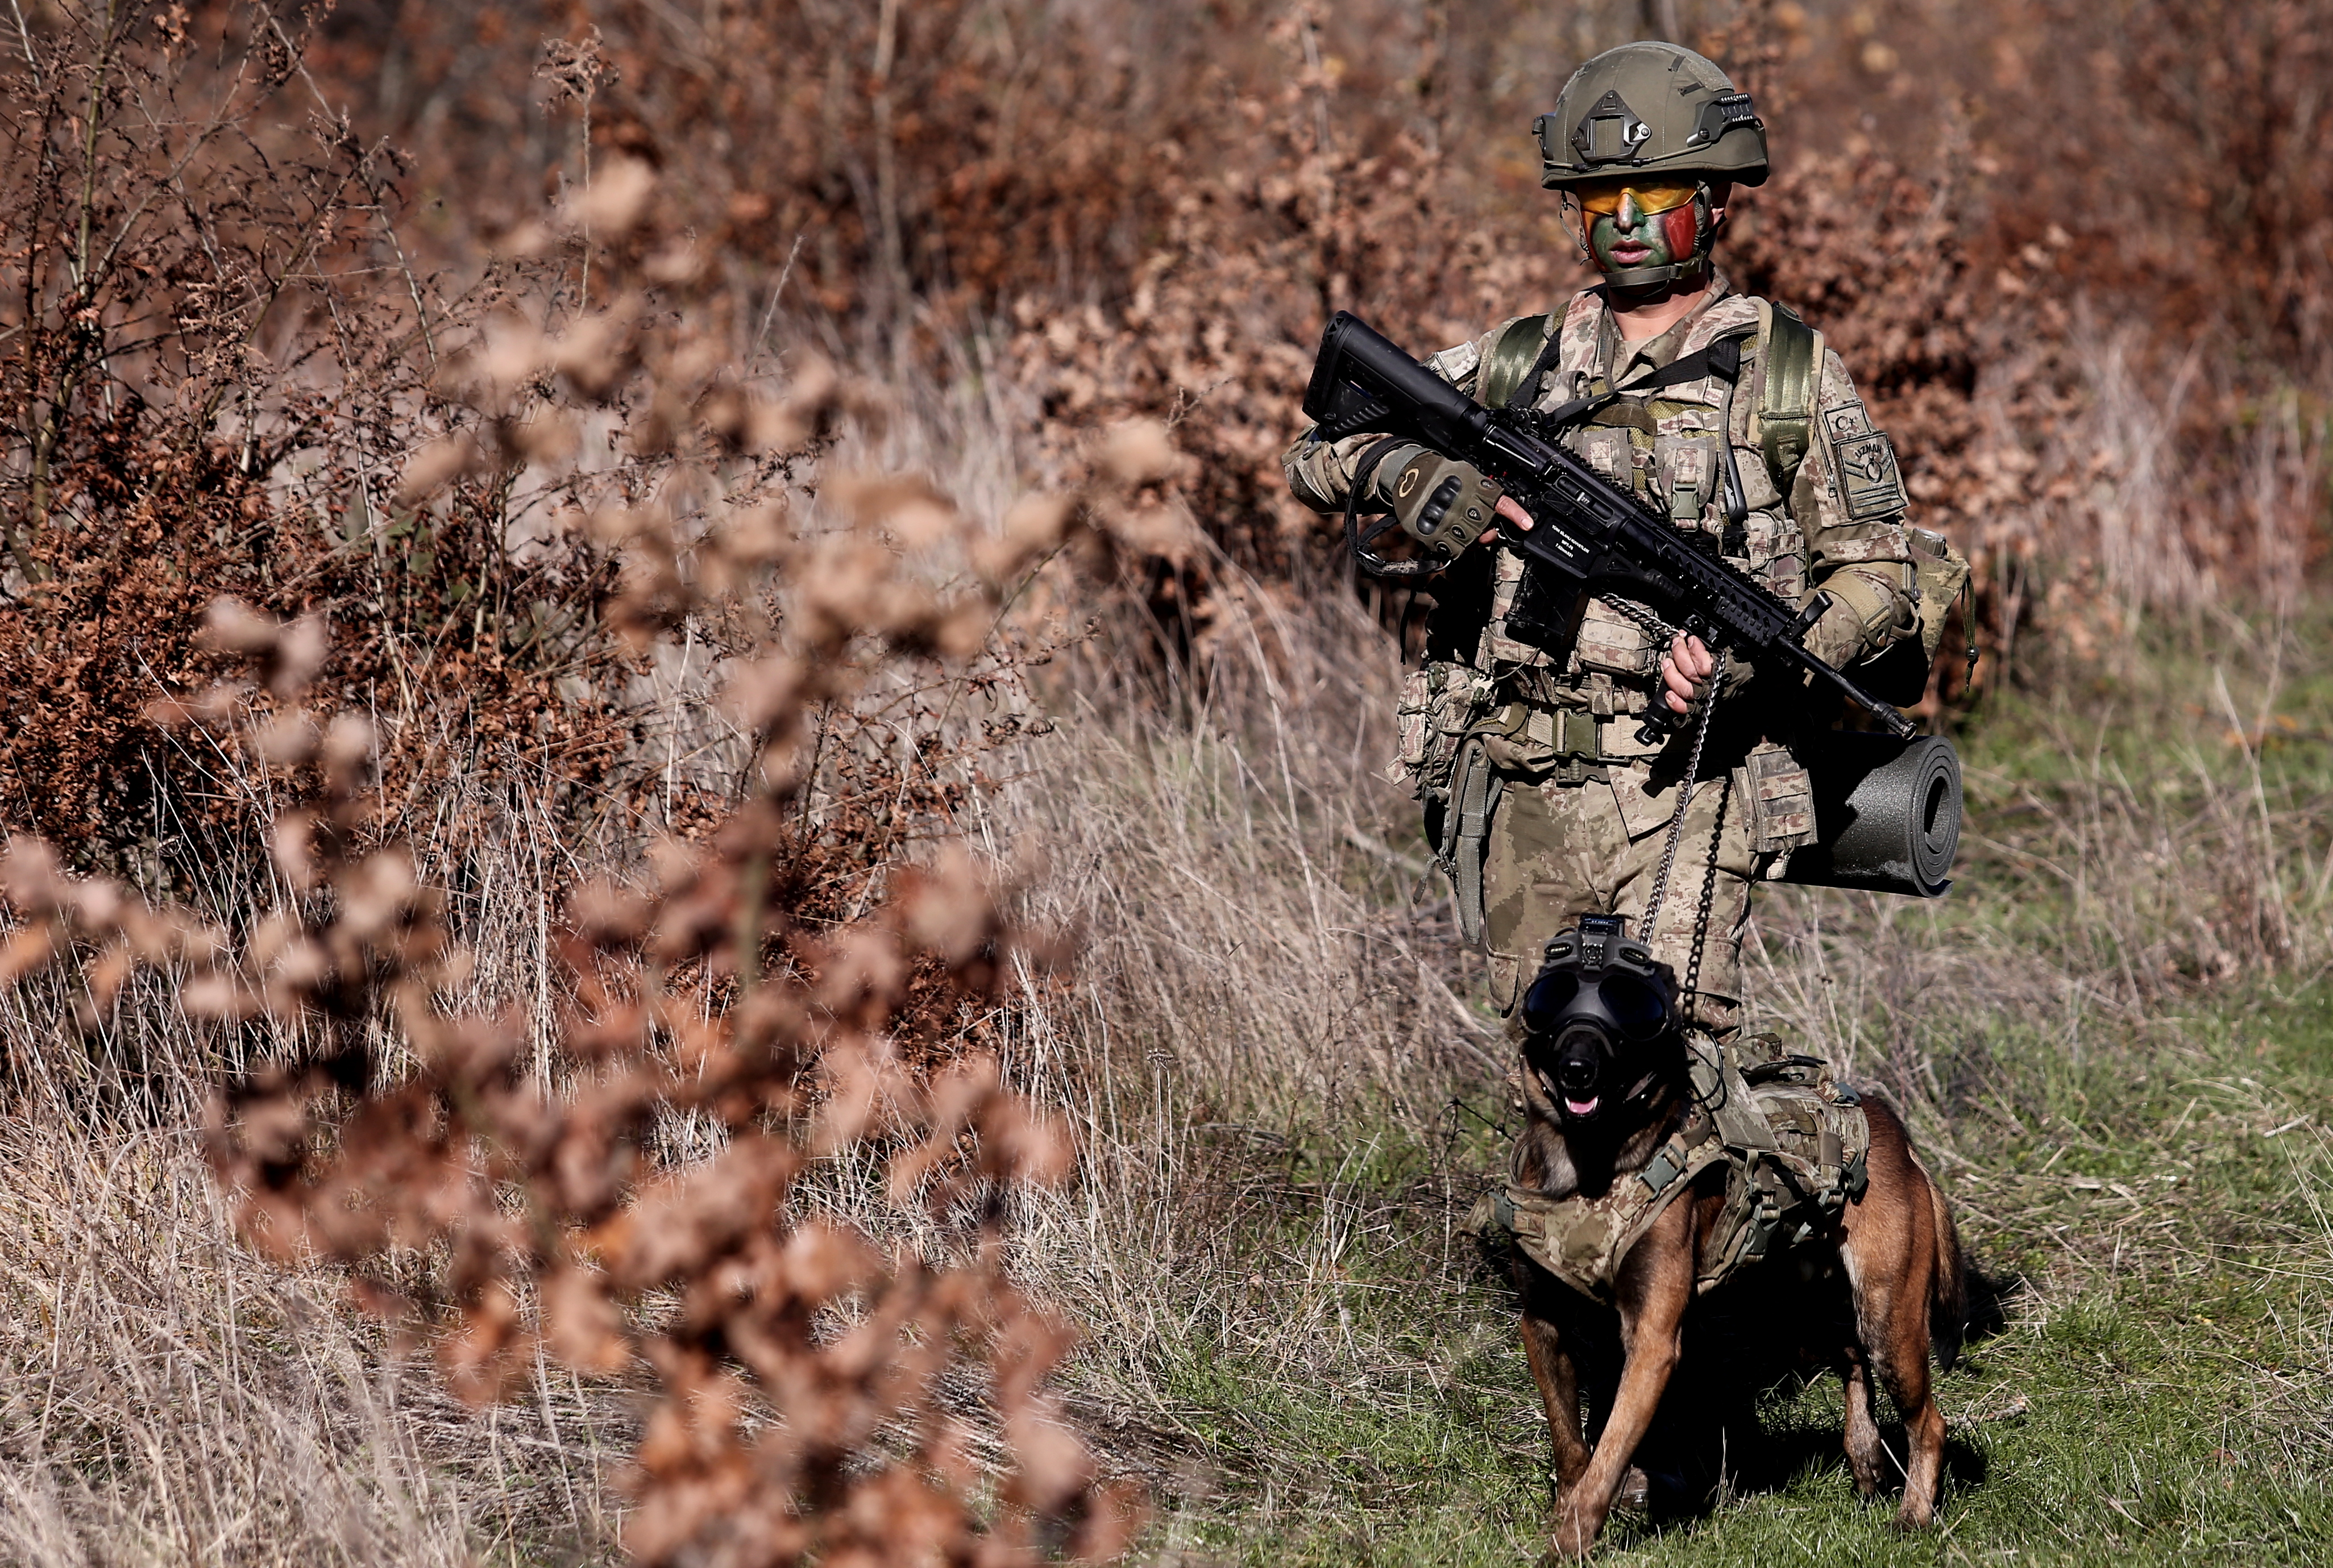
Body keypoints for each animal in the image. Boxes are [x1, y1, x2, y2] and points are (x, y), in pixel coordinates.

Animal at [1484, 919, 1960, 1558]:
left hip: (1886, 1317)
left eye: (1628, 1007)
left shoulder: (1653, 1340)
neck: (1590, 1164)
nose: (1578, 1067)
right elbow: (1571, 1444)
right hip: (1788, 1314)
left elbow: (1609, 1454)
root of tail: (1897, 1137)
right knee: (1849, 1353)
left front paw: (1571, 1539)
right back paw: (1864, 1456)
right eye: (1550, 1001)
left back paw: (1913, 1513)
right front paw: (1566, 1513)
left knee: (1926, 1418)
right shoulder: (1543, 1325)